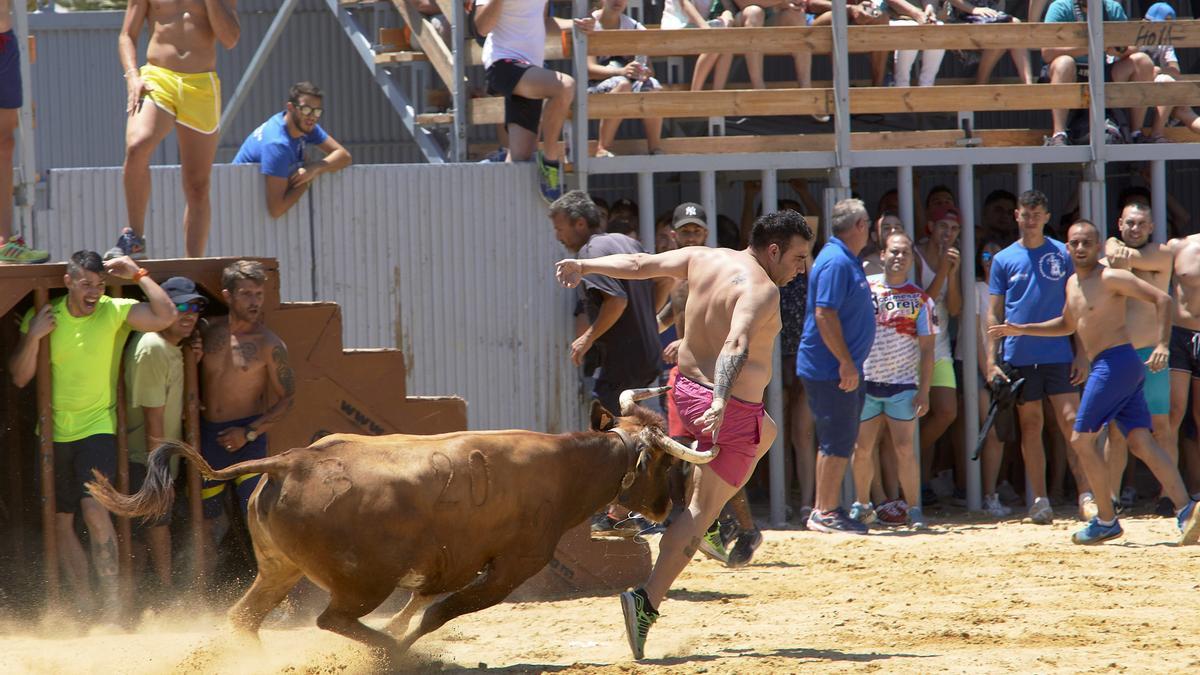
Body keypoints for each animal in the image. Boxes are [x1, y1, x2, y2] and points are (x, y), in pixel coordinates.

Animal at [91, 386, 710, 658]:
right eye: (663, 463)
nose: (669, 507)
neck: (560, 469)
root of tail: (290, 460)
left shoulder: (455, 565)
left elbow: (424, 602)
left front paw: (401, 630)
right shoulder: (511, 568)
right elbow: (439, 612)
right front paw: (405, 641)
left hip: (278, 570)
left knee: (244, 617)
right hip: (360, 582)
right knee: (332, 619)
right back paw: (393, 653)